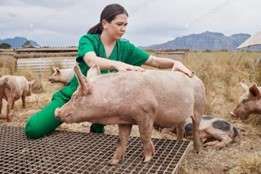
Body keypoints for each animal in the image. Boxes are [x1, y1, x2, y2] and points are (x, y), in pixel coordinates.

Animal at [55, 65, 205, 164]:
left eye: (76, 96)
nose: (57, 112)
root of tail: (197, 78)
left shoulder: (147, 113)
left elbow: (144, 136)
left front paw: (147, 160)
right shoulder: (124, 120)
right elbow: (121, 139)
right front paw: (113, 162)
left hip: (199, 106)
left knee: (196, 127)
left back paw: (197, 151)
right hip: (181, 115)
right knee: (181, 127)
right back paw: (178, 143)